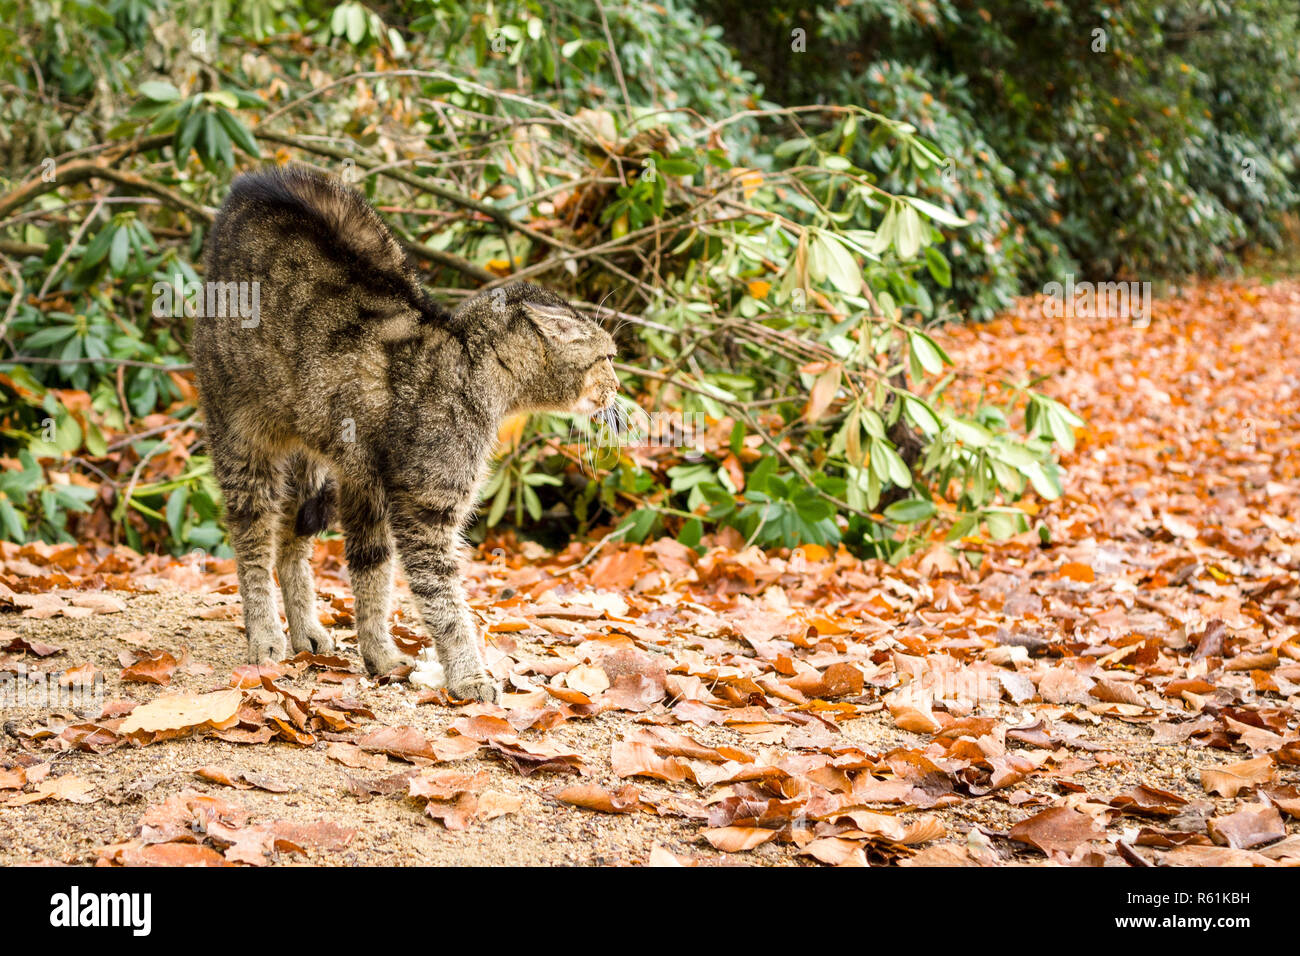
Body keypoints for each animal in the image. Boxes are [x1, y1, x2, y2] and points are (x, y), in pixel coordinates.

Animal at [192, 166, 618, 702]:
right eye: (607, 357)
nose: (618, 387)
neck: (470, 370)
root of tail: (249, 183)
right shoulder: (425, 510)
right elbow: (445, 605)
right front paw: (469, 676)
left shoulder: (369, 489)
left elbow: (373, 574)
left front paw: (380, 654)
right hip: (243, 440)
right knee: (252, 540)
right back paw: (266, 635)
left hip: (317, 463)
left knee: (293, 540)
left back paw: (305, 629)